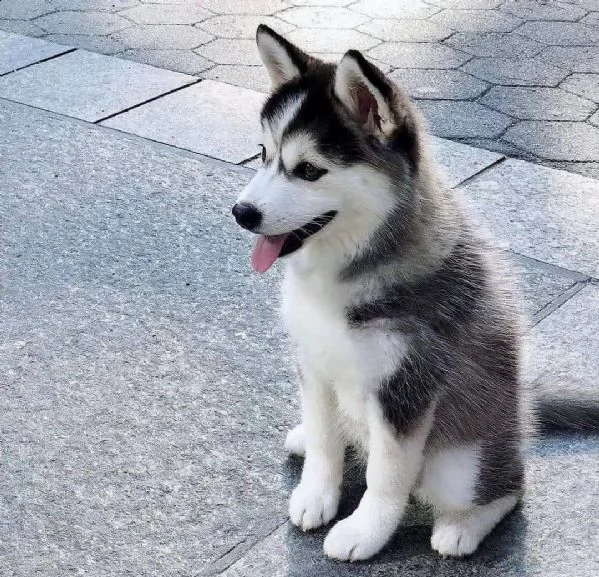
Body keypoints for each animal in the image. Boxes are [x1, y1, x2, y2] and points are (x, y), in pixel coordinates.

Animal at [232, 24, 596, 560]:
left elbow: (387, 476)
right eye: (263, 155)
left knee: (508, 487)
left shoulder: (405, 389)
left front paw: (364, 532)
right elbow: (324, 442)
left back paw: (462, 528)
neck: (346, 268)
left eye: (309, 171)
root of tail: (522, 413)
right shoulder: (314, 363)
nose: (242, 213)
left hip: (461, 463)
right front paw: (316, 493)